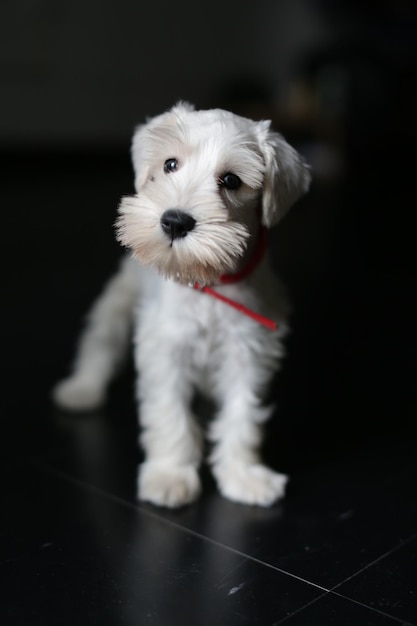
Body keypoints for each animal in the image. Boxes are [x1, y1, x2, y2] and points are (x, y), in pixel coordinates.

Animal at [52, 101, 308, 508]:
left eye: (231, 180)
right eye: (170, 164)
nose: (174, 221)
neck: (208, 282)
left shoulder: (249, 352)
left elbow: (243, 415)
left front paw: (244, 475)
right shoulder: (166, 350)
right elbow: (169, 413)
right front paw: (170, 476)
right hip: (118, 301)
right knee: (100, 341)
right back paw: (82, 388)